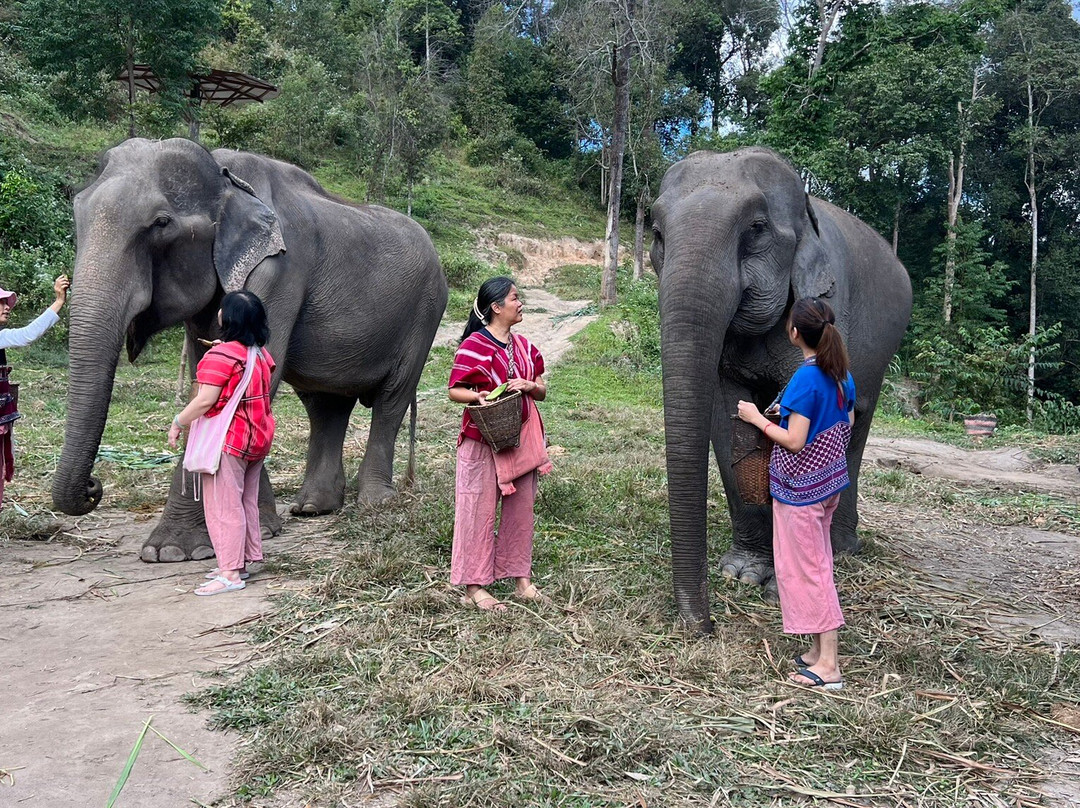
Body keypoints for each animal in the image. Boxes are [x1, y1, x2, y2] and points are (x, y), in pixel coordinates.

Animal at [53, 137, 448, 562]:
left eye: (161, 223)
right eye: (77, 211)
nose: (93, 487)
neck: (224, 175)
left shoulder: (279, 273)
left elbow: (233, 384)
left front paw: (171, 550)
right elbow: (209, 379)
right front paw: (262, 524)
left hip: (425, 314)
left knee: (392, 398)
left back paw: (374, 503)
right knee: (326, 405)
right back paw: (312, 507)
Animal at [650, 147, 912, 633]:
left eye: (756, 228)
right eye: (657, 233)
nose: (705, 626)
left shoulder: (830, 304)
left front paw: (781, 586)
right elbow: (725, 419)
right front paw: (743, 573)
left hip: (884, 349)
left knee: (859, 423)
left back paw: (843, 550)